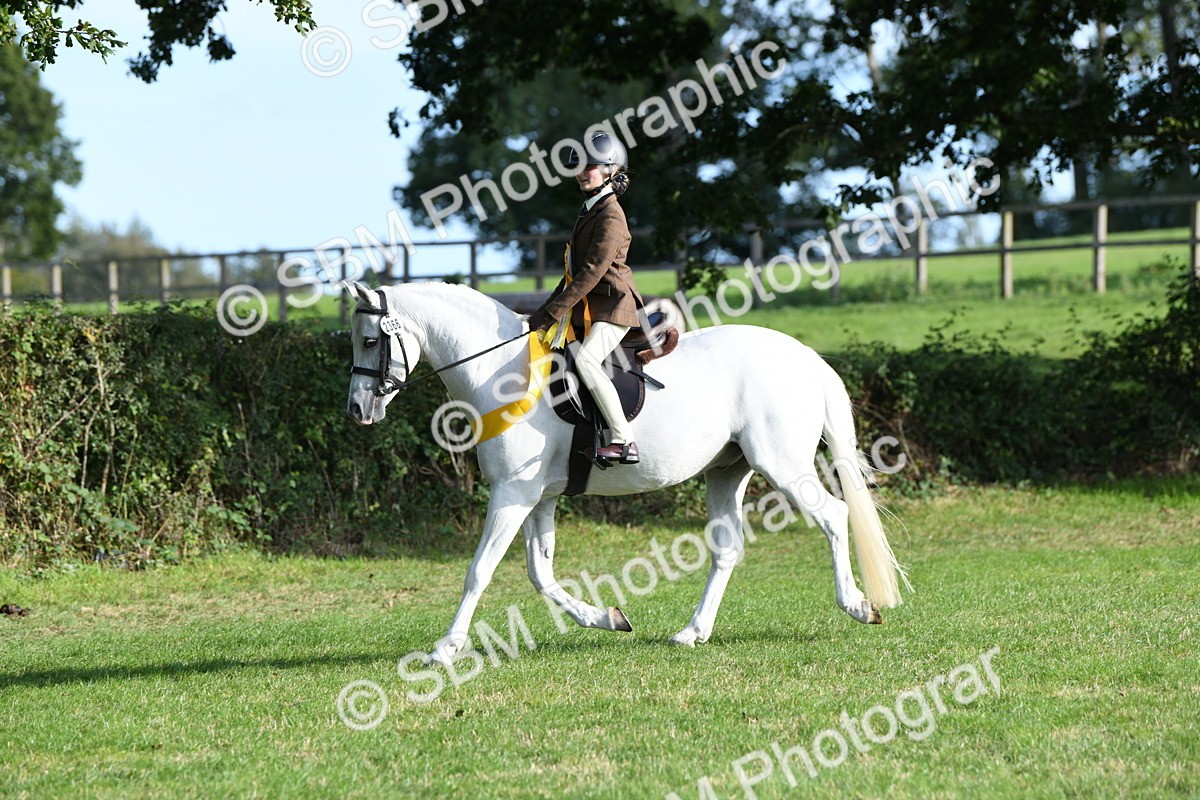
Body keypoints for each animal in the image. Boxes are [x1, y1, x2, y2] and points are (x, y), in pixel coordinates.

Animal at [344, 280, 908, 665]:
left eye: (370, 341)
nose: (357, 410)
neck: (501, 373)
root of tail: (806, 357)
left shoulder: (512, 493)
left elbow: (479, 571)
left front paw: (445, 648)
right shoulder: (538, 497)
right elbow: (540, 574)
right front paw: (606, 617)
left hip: (782, 465)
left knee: (834, 516)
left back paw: (858, 605)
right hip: (728, 470)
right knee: (727, 548)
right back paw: (693, 631)